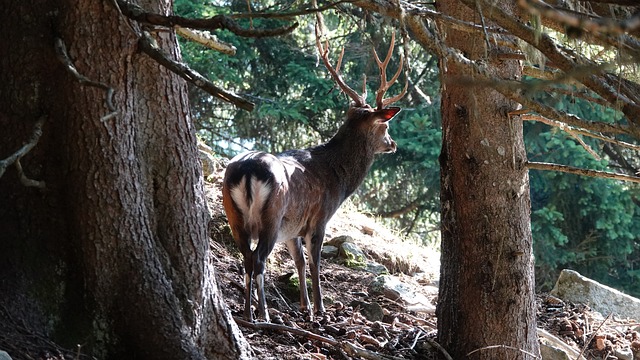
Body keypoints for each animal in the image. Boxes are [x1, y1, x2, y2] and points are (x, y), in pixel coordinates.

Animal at [222, 26, 408, 322]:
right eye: (386, 126)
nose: (393, 144)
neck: (338, 180)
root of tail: (249, 169)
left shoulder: (292, 228)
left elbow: (298, 261)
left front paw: (305, 307)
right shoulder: (319, 219)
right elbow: (314, 263)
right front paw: (320, 309)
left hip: (234, 214)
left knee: (247, 258)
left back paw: (247, 311)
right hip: (271, 216)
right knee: (259, 259)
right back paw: (263, 313)